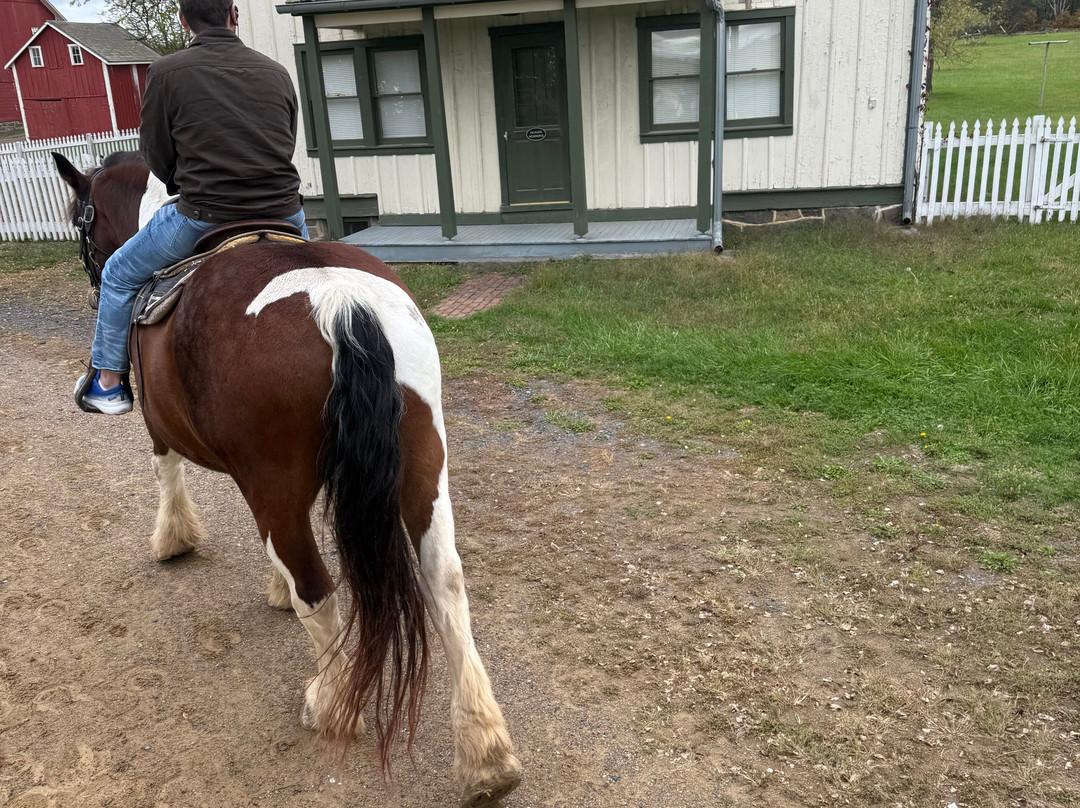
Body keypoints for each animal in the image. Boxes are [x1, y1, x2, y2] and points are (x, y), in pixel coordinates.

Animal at [53, 152, 522, 806]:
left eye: (82, 218)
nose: (94, 276)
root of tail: (339, 302)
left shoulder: (164, 429)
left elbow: (165, 471)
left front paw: (173, 540)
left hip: (281, 482)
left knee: (317, 587)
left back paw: (329, 702)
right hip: (423, 467)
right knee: (444, 582)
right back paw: (485, 756)